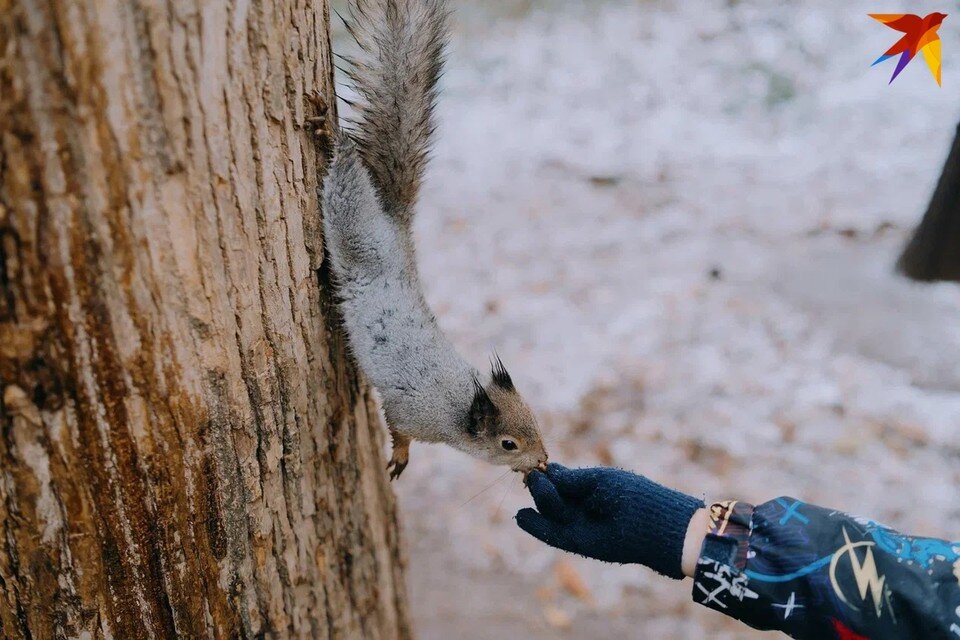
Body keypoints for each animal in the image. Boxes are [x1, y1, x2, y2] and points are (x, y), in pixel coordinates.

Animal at [320, 0, 548, 480]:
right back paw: (336, 140)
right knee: (345, 183)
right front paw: (402, 456)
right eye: (508, 443)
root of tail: (393, 226)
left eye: (536, 421)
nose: (543, 460)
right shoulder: (409, 411)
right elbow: (399, 430)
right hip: (354, 227)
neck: (458, 402)